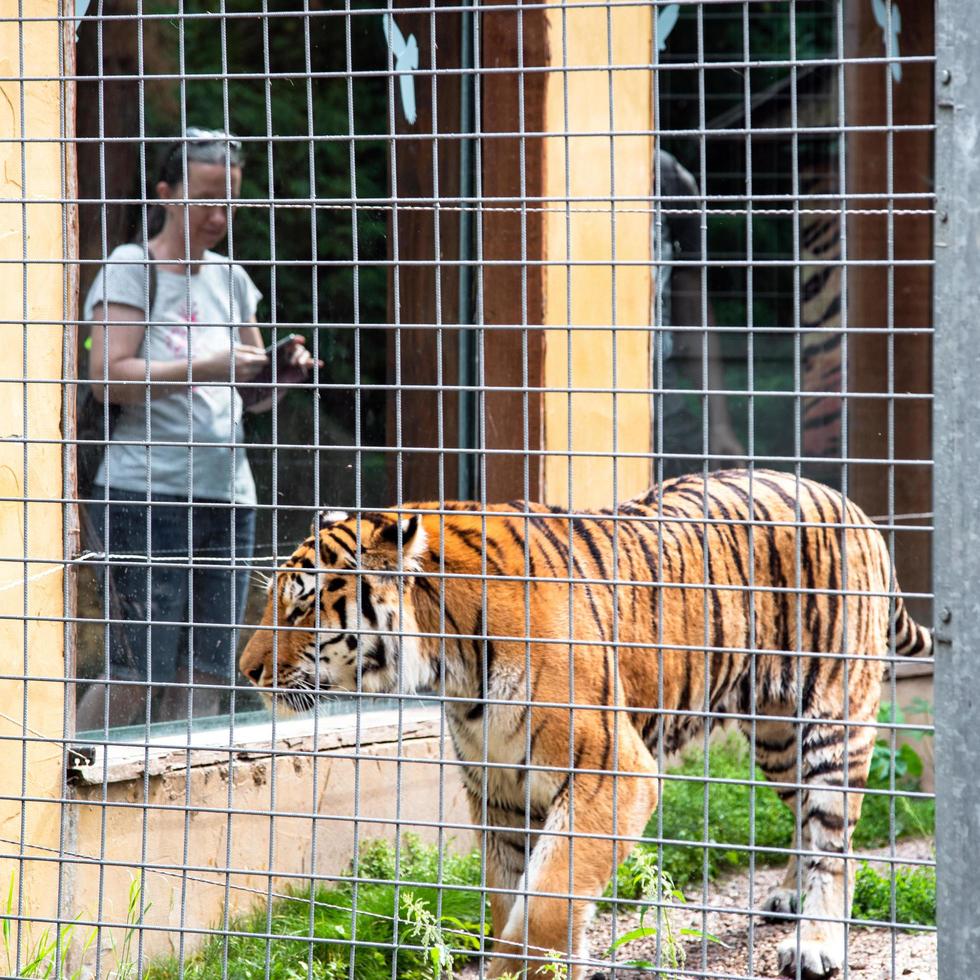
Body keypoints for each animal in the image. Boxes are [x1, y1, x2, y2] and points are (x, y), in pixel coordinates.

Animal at [239, 469, 932, 980]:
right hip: (777, 736)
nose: (247, 672)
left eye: (302, 605)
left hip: (829, 722)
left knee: (834, 842)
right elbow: (513, 896)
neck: (450, 661)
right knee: (805, 825)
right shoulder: (500, 790)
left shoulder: (609, 774)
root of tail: (851, 505)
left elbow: (546, 902)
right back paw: (786, 896)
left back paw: (816, 943)